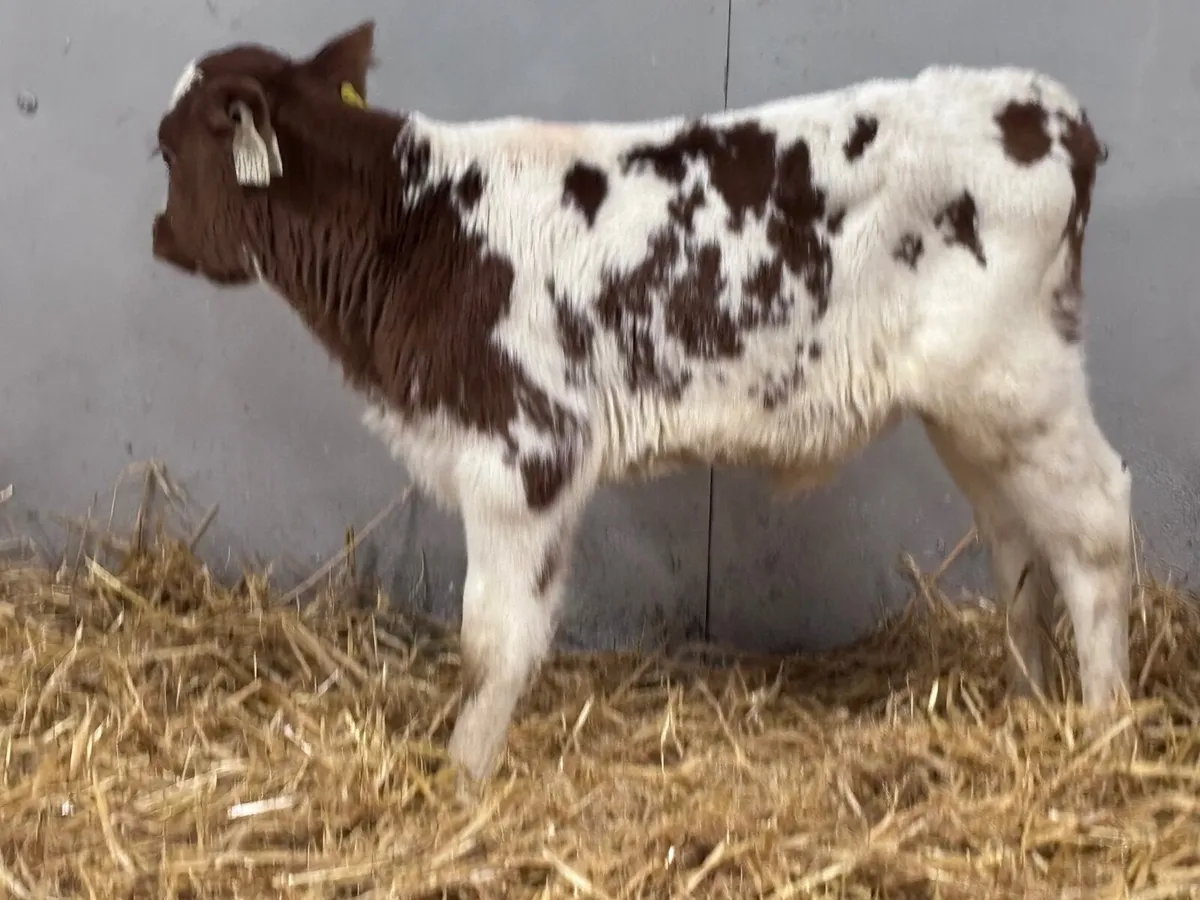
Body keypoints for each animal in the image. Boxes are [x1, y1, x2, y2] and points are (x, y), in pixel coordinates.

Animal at [149, 21, 1133, 783]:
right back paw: (1030, 701)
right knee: (1016, 538)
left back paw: (1105, 725)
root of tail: (1051, 109)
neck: (422, 228)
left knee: (1094, 523)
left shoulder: (526, 452)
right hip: (973, 409)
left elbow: (493, 639)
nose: (159, 234)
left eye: (167, 147)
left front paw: (462, 780)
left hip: (1018, 379)